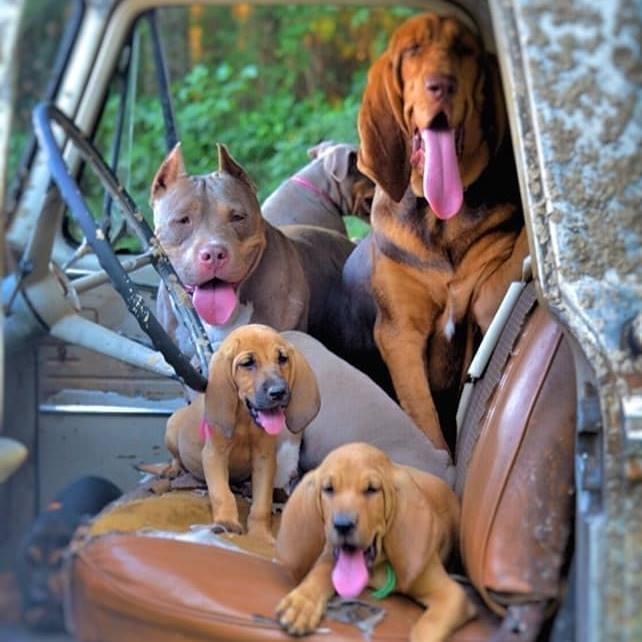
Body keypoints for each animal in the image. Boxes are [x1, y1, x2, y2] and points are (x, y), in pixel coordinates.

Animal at [164, 325, 320, 541]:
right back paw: (174, 470)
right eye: (247, 363)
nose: (279, 392)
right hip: (171, 426)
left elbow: (261, 504)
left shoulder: (264, 460)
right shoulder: (214, 455)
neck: (246, 423)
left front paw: (260, 534)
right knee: (176, 457)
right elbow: (222, 494)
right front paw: (227, 523)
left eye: (282, 358)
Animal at [275, 443, 474, 642]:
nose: (343, 525)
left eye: (371, 489)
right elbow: (320, 571)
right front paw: (302, 602)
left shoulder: (452, 594)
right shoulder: (330, 556)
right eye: (328, 488)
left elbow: (427, 627)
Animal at [356, 12, 528, 450]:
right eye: (412, 50)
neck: (438, 219)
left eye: (464, 49)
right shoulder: (399, 335)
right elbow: (424, 420)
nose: (442, 85)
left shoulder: (485, 300)